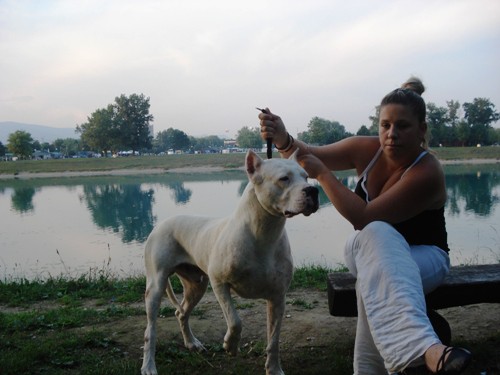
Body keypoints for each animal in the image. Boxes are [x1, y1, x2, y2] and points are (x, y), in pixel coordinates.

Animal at [143, 151, 318, 375]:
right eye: (284, 178)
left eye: (306, 176)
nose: (313, 190)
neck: (263, 233)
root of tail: (161, 224)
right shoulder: (220, 284)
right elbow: (235, 321)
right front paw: (231, 345)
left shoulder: (278, 297)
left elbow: (274, 339)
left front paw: (274, 369)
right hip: (156, 287)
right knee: (150, 331)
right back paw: (148, 365)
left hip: (196, 286)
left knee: (181, 313)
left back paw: (192, 343)